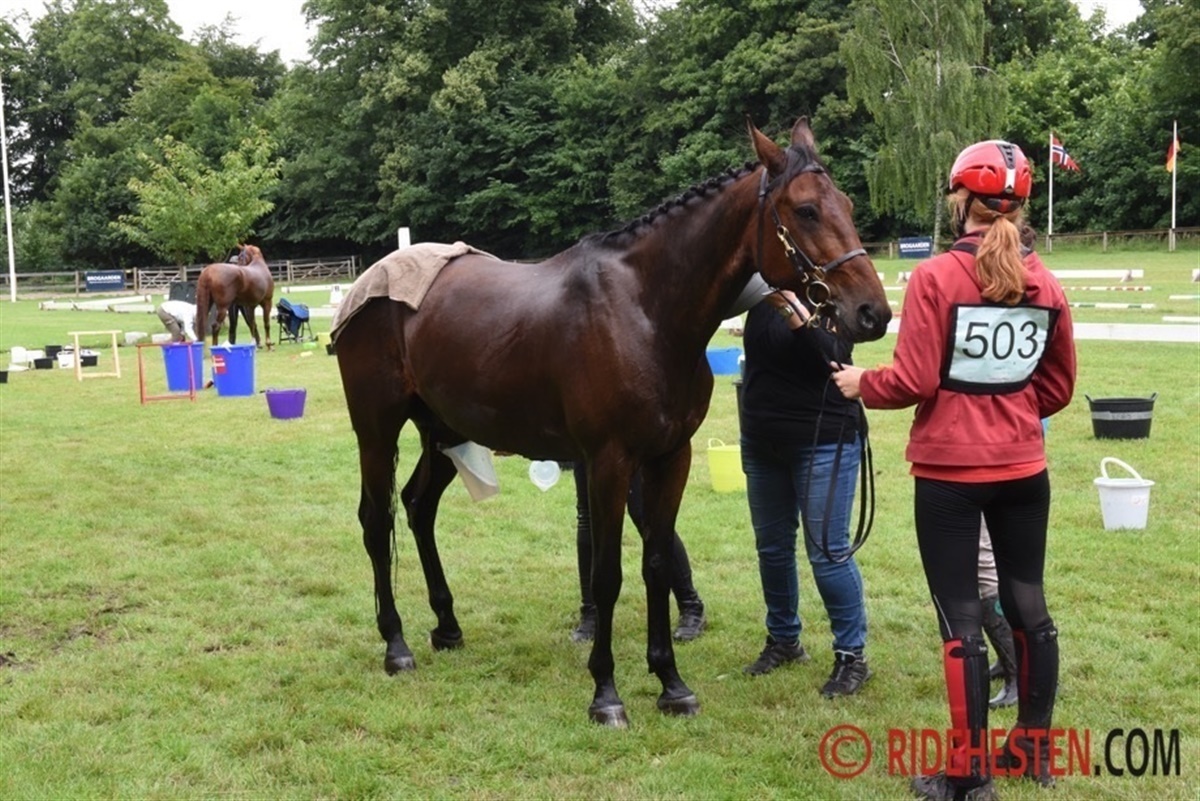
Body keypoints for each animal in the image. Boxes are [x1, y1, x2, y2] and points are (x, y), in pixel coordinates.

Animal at [333, 117, 892, 727]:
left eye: (847, 203)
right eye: (807, 210)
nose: (873, 312)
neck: (645, 310)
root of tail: (367, 287)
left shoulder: (670, 457)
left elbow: (656, 563)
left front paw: (671, 683)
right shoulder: (608, 462)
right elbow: (607, 576)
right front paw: (606, 693)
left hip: (445, 431)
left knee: (418, 508)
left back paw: (448, 627)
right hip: (376, 430)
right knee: (374, 521)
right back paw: (396, 645)